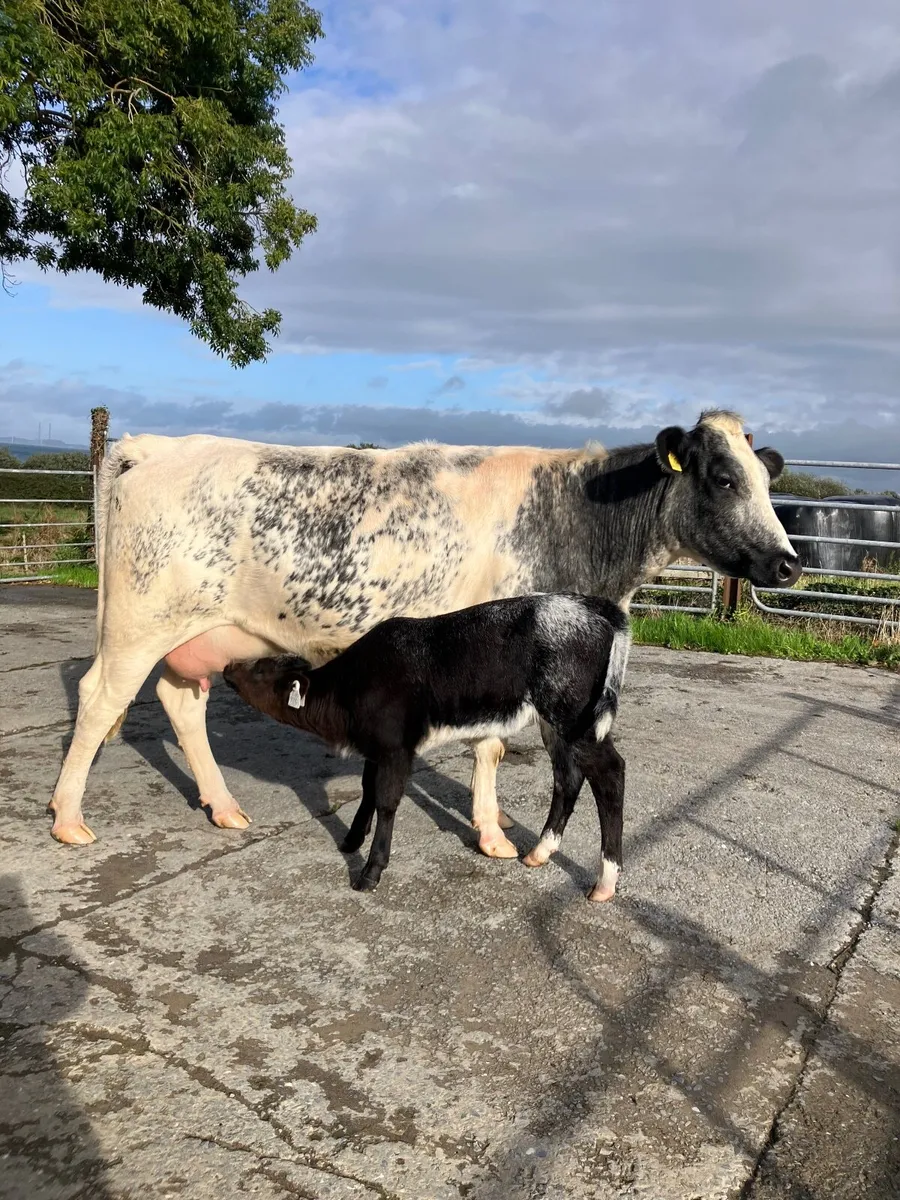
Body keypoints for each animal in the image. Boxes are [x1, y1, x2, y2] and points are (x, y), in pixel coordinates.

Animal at [48, 409, 800, 847]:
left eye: (766, 479)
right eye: (724, 478)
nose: (790, 563)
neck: (574, 519)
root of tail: (150, 446)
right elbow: (491, 747)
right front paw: (494, 836)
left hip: (203, 632)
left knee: (180, 702)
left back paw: (224, 806)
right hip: (142, 619)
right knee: (101, 699)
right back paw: (68, 819)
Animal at [221, 593, 631, 896]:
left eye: (261, 669)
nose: (226, 668)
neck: (351, 688)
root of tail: (590, 605)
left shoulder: (396, 747)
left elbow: (386, 801)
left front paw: (370, 871)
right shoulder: (377, 744)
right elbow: (367, 790)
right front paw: (351, 840)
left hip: (574, 716)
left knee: (610, 772)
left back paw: (604, 882)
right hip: (558, 723)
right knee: (568, 779)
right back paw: (540, 853)